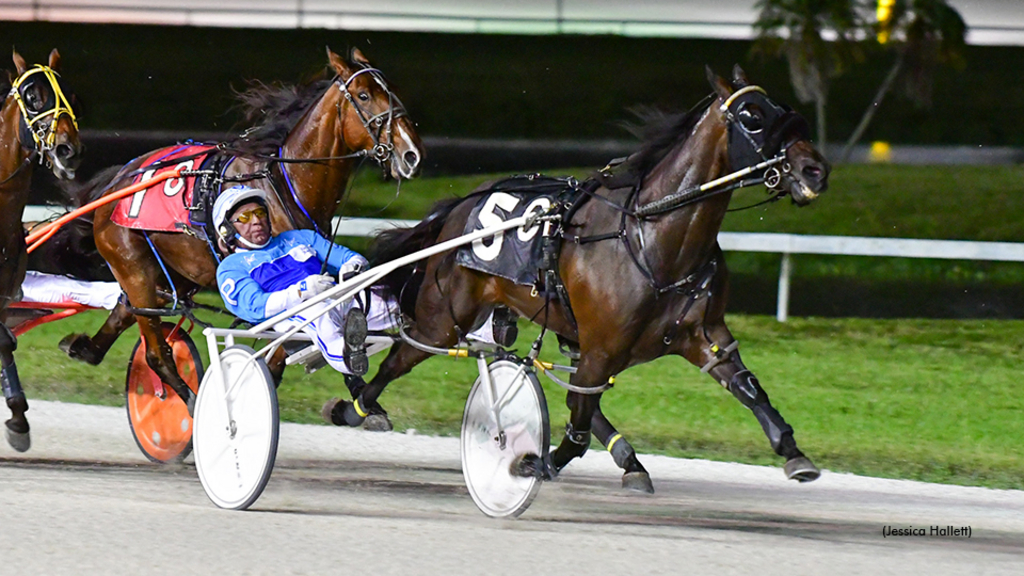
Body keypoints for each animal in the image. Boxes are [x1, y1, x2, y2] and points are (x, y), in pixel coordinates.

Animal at [58, 47, 419, 409]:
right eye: (363, 95)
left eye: (392, 91)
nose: (412, 154)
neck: (288, 182)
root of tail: (117, 181)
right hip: (135, 268)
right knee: (156, 351)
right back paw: (192, 402)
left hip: (176, 274)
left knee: (123, 313)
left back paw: (84, 347)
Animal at [331, 66, 827, 487]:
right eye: (752, 117)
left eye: (783, 109)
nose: (815, 170)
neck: (651, 234)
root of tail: (460, 206)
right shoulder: (603, 345)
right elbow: (577, 428)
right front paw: (533, 461)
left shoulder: (701, 334)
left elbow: (747, 386)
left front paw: (794, 453)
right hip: (446, 318)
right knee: (398, 358)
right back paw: (355, 407)